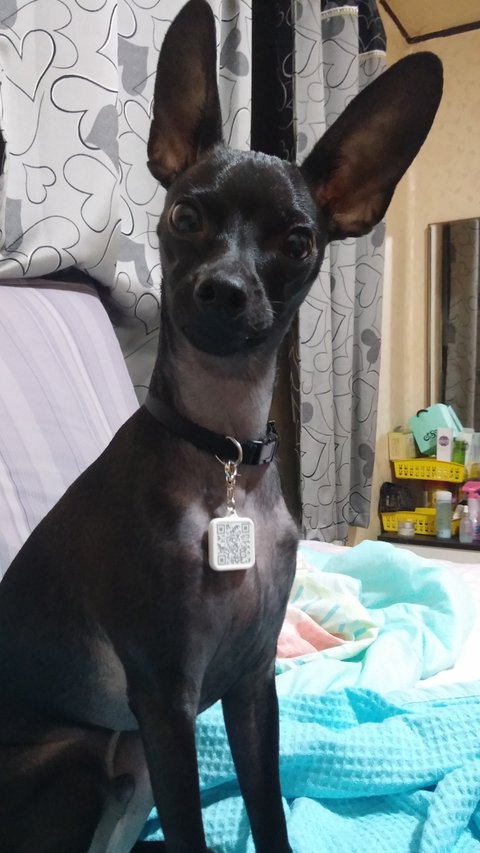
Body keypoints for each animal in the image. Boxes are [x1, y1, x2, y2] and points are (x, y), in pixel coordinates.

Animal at [0, 2, 442, 851]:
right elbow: (192, 832)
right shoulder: (166, 702)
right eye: (186, 214)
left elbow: (269, 812)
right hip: (89, 760)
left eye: (298, 241)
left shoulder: (251, 685)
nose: (225, 289)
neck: (224, 450)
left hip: (129, 765)